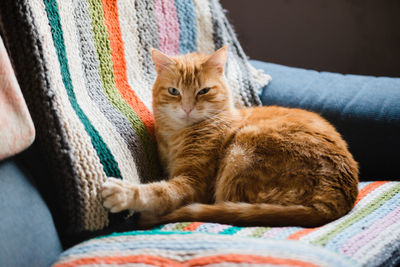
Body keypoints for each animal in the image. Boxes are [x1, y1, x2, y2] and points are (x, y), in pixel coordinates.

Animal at [101, 46, 360, 228]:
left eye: (203, 91)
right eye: (174, 91)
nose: (187, 108)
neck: (176, 136)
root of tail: (336, 196)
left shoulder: (193, 183)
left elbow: (159, 192)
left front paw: (124, 193)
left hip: (240, 153)